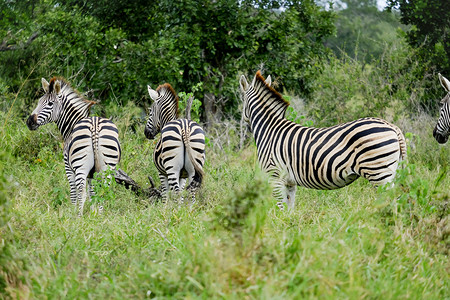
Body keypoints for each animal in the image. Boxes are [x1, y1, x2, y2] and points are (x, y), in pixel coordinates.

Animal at [26, 77, 121, 216]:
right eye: (38, 102)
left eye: (50, 104)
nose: (29, 122)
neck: (72, 125)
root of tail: (94, 126)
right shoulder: (92, 173)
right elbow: (93, 192)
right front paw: (93, 215)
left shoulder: (68, 167)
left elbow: (74, 193)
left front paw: (73, 212)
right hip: (108, 166)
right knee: (103, 191)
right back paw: (101, 216)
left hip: (80, 165)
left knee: (81, 192)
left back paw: (78, 217)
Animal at [239, 70, 408, 211]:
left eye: (242, 102)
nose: (243, 122)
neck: (269, 129)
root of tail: (392, 126)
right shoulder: (289, 182)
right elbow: (289, 209)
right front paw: (290, 226)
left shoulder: (275, 176)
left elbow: (280, 208)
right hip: (392, 171)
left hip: (379, 172)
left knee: (391, 202)